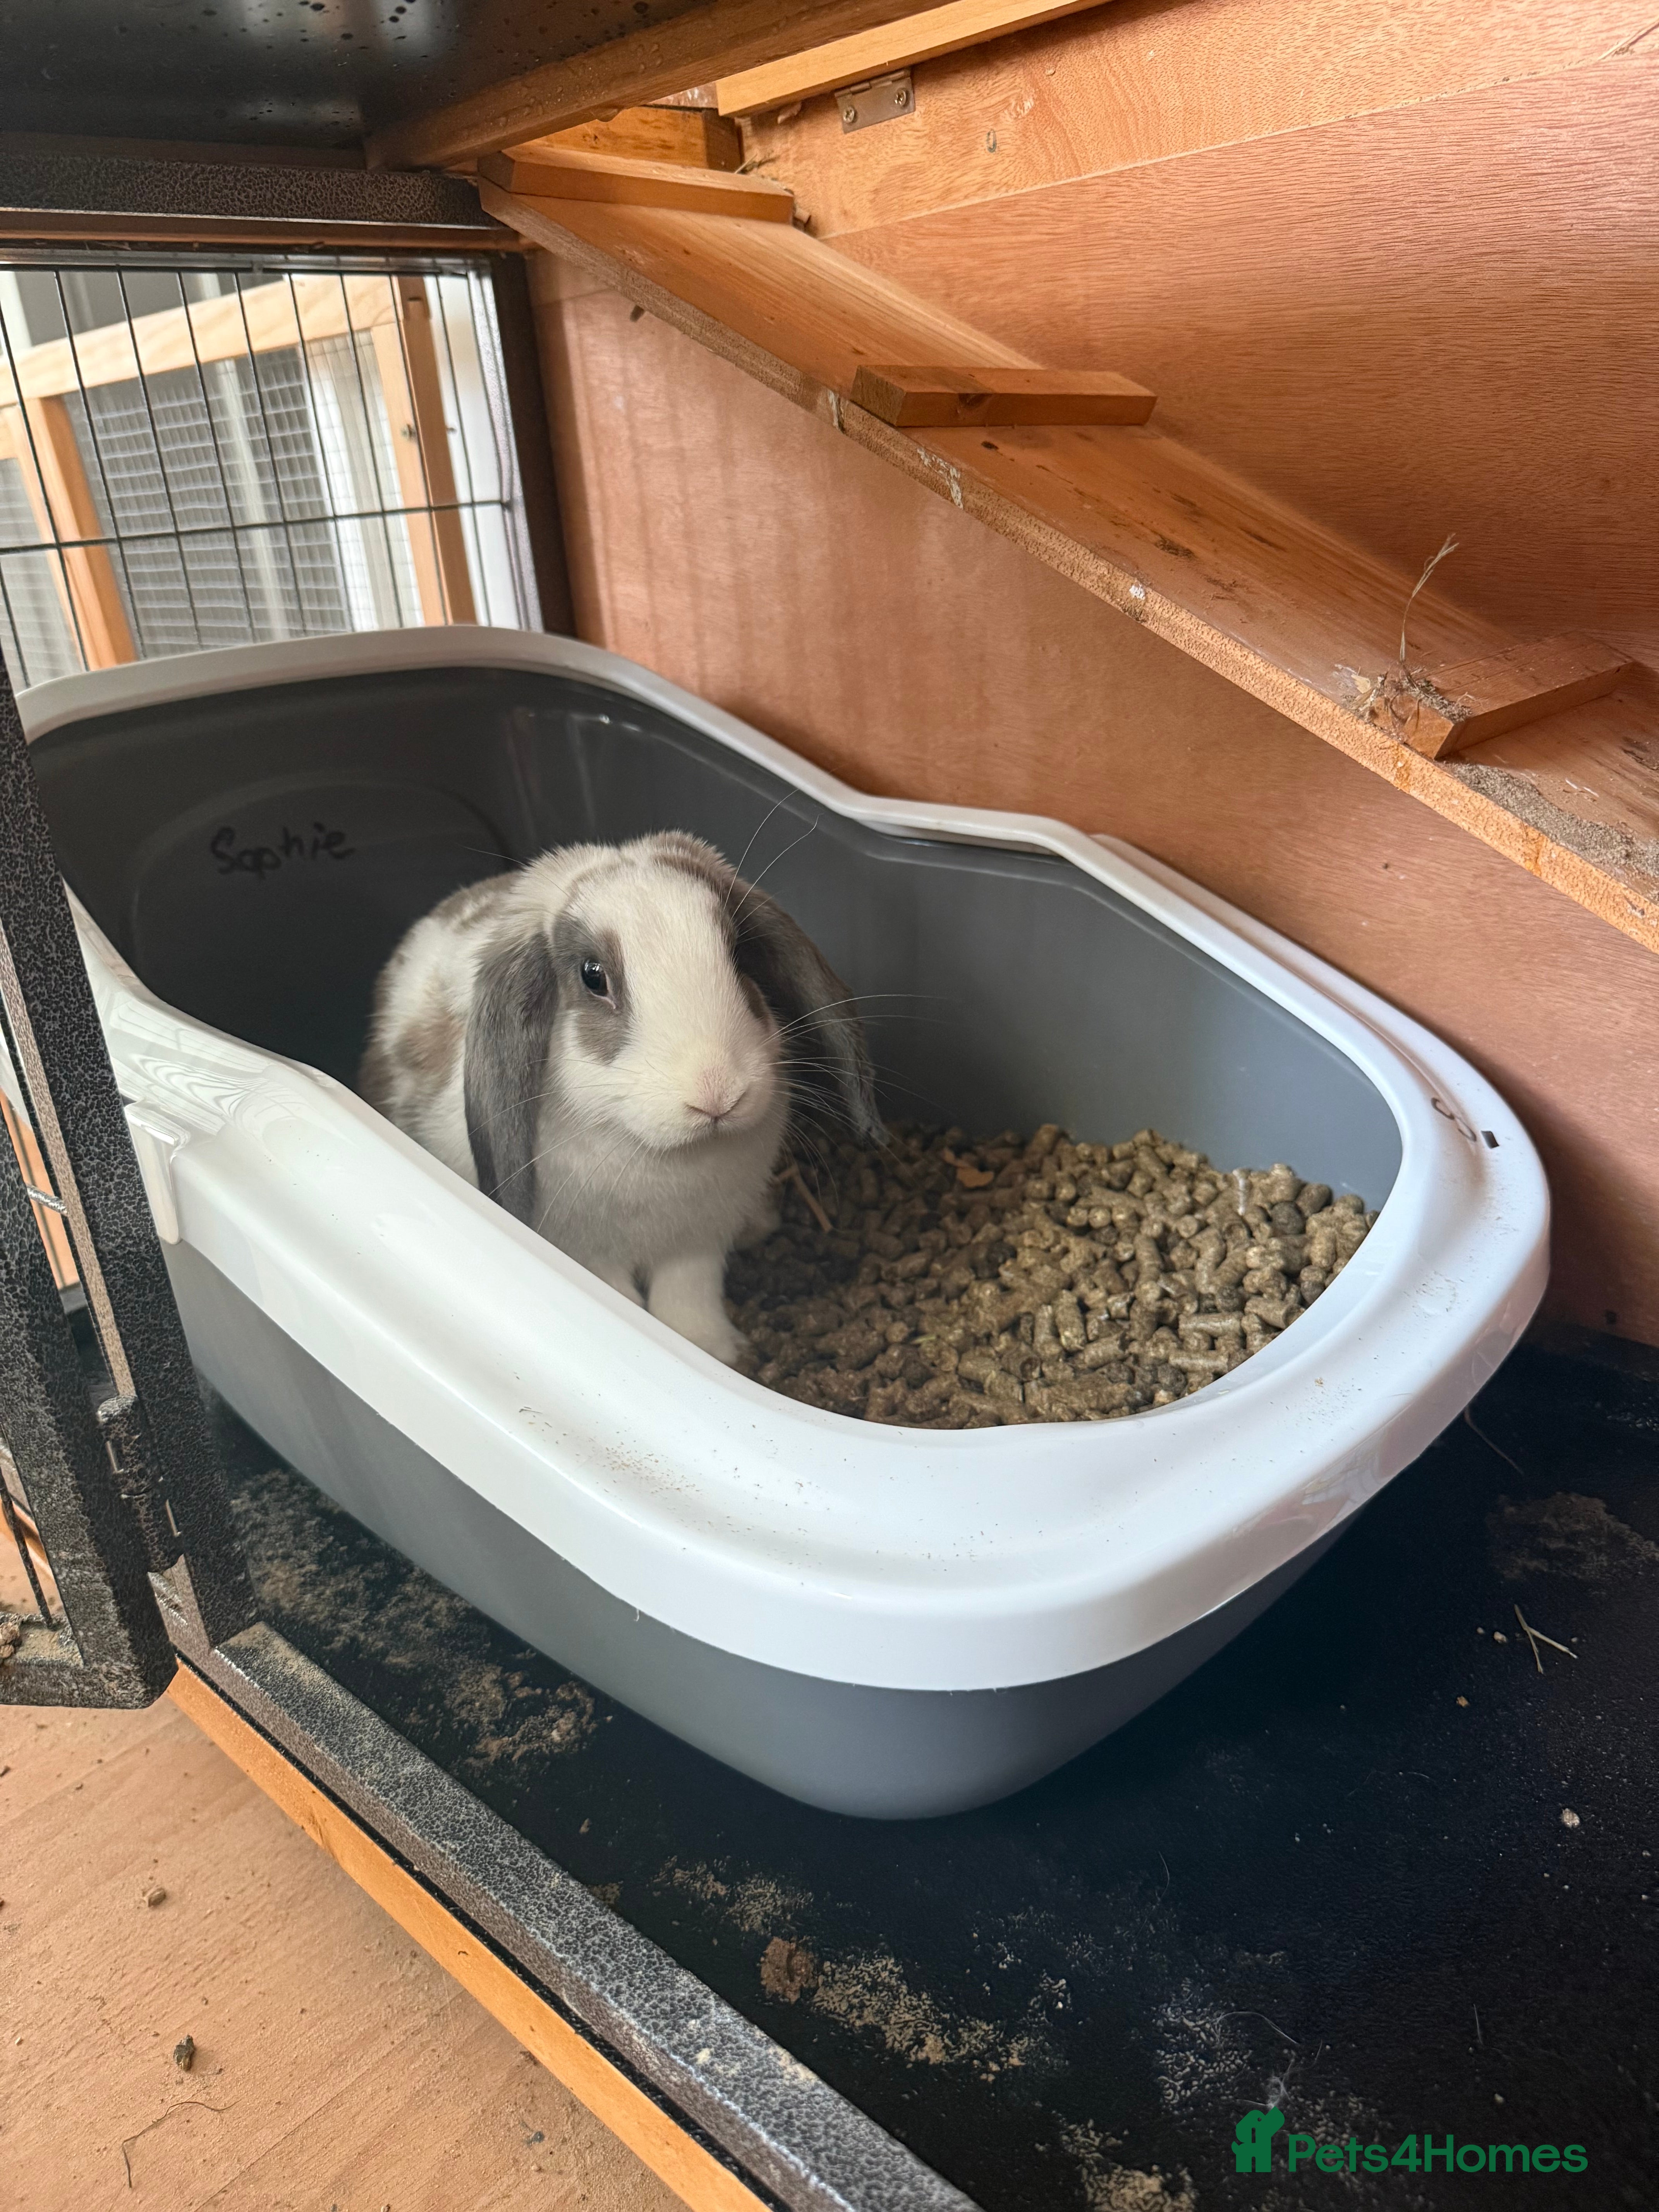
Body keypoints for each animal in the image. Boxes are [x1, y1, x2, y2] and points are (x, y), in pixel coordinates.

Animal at [359, 830, 879, 1365]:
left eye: (738, 954)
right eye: (593, 976)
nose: (718, 1093)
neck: (661, 1157)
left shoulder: (697, 1245)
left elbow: (687, 1298)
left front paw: (713, 1350)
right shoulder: (590, 1254)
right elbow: (625, 1301)